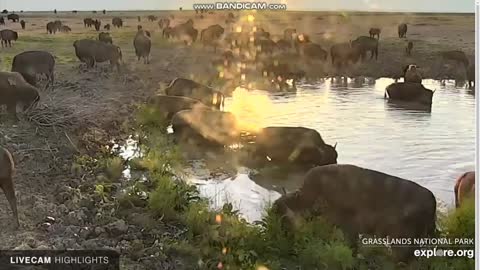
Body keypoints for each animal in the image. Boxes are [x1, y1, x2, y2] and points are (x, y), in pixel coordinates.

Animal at [272, 162, 436, 262]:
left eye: (281, 215)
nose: (282, 236)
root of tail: (431, 199)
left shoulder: (349, 226)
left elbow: (352, 247)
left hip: (403, 241)